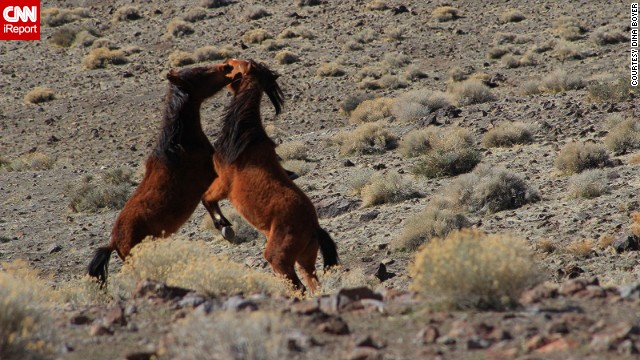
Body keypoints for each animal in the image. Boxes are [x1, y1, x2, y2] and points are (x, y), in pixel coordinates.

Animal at [86, 62, 234, 286]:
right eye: (199, 73)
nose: (227, 66)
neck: (179, 144)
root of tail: (113, 242)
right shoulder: (208, 176)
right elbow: (210, 200)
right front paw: (225, 227)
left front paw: (225, 226)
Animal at [202, 59, 338, 294]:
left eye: (234, 63)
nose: (223, 65)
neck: (246, 137)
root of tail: (314, 228)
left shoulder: (223, 183)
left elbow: (207, 198)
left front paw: (225, 228)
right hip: (305, 260)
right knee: (313, 284)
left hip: (279, 258)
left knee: (298, 288)